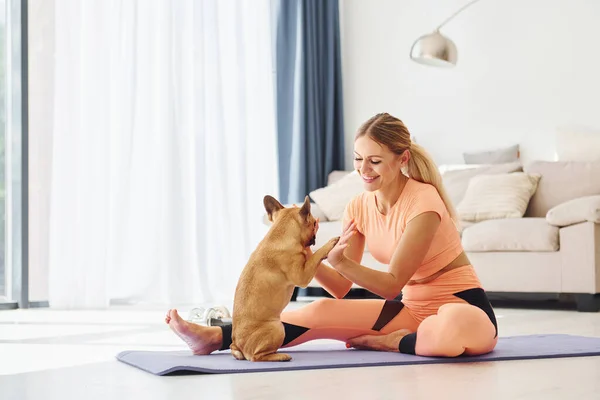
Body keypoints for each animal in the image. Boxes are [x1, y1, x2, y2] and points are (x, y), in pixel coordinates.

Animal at [232, 195, 340, 362]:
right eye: (314, 223)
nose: (316, 226)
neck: (280, 232)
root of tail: (237, 344)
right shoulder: (302, 276)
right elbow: (315, 256)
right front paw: (329, 244)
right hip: (277, 327)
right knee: (257, 356)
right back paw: (280, 356)